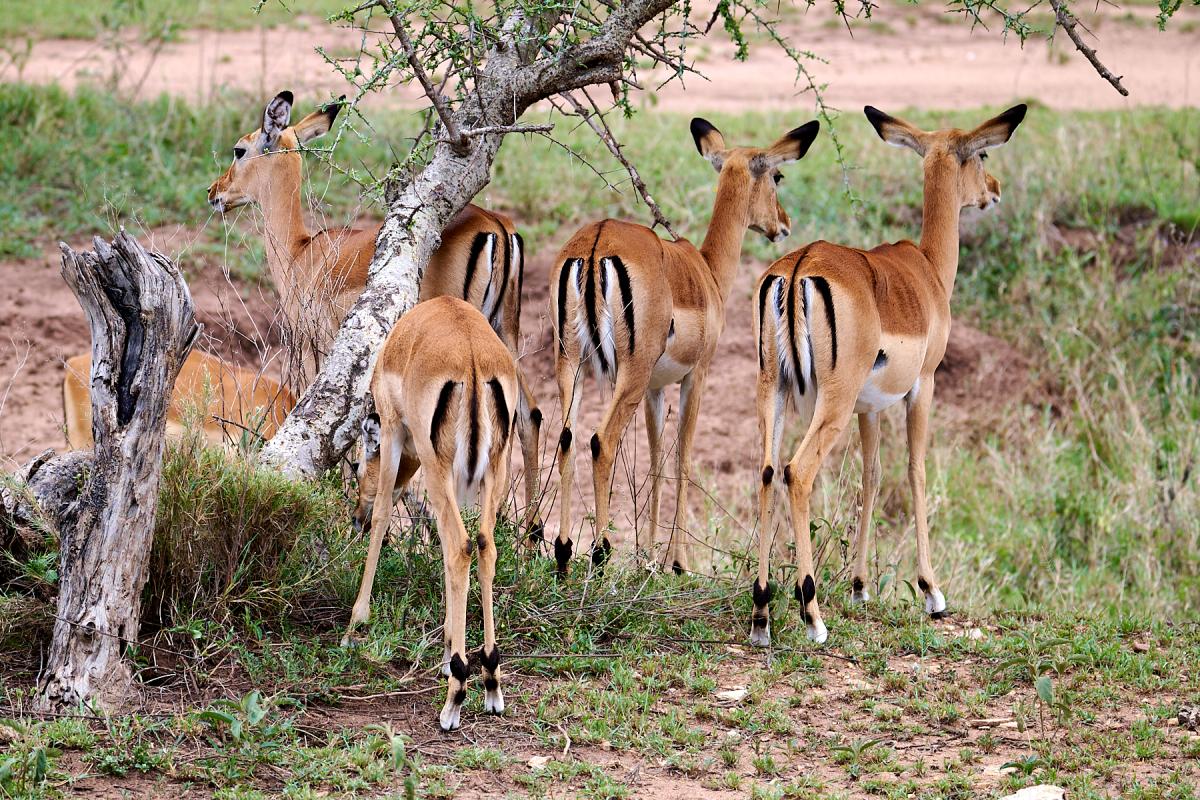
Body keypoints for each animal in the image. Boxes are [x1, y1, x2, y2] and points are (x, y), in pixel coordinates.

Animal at [207, 91, 543, 534]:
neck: (302, 253)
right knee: (529, 416)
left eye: (239, 149)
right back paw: (527, 531)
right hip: (505, 336)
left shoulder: (315, 349)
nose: (214, 192)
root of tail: (497, 227)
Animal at [343, 297, 517, 732]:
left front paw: (355, 627)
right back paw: (489, 681)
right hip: (493, 469)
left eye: (357, 466)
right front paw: (446, 652)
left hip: (435, 462)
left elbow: (386, 515)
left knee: (459, 546)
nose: (356, 516)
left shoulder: (392, 431)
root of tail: (472, 359)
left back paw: (454, 699)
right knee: (481, 546)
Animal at [550, 117, 820, 576]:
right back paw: (600, 554)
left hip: (573, 363)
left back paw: (564, 551)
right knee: (600, 441)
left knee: (567, 437)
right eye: (777, 176)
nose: (783, 224)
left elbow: (657, 460)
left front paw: (648, 557)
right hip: (629, 374)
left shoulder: (656, 388)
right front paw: (677, 563)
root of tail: (596, 244)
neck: (706, 273)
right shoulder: (697, 375)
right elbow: (684, 459)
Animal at [749, 104, 1027, 645]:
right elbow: (916, 470)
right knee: (798, 472)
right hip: (829, 403)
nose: (995, 188)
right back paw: (812, 616)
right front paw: (932, 593)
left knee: (769, 471)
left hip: (775, 389)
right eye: (982, 155)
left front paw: (860, 588)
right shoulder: (924, 385)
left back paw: (761, 615)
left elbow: (871, 476)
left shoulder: (869, 407)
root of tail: (797, 269)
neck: (928, 271)